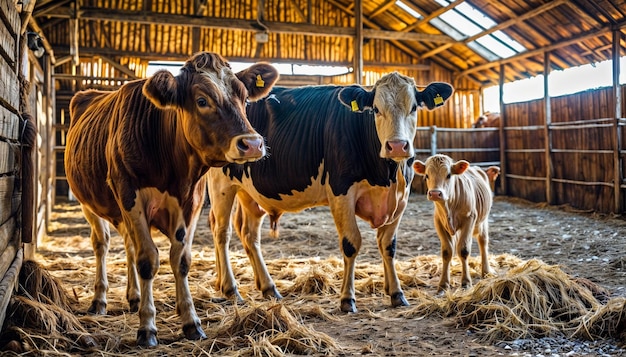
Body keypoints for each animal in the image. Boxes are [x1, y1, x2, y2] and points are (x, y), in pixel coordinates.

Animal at [64, 52, 276, 344]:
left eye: (245, 99)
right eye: (202, 101)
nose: (252, 144)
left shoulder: (191, 202)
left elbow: (181, 260)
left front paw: (190, 320)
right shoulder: (129, 195)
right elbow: (147, 260)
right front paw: (147, 326)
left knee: (128, 245)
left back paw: (134, 296)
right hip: (89, 204)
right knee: (102, 244)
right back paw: (100, 300)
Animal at [207, 73, 450, 312]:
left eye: (414, 107)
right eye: (376, 109)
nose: (397, 146)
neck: (386, 176)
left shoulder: (401, 198)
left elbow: (388, 245)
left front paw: (397, 293)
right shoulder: (341, 193)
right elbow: (351, 244)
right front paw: (347, 299)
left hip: (249, 192)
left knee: (249, 235)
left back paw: (267, 288)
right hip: (221, 185)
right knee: (222, 232)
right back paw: (230, 289)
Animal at [412, 154, 494, 290]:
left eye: (449, 175)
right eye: (426, 175)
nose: (435, 193)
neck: (449, 206)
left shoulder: (469, 219)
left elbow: (464, 250)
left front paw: (466, 281)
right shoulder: (439, 222)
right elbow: (447, 252)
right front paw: (444, 283)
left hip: (483, 221)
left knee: (483, 242)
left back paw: (486, 271)